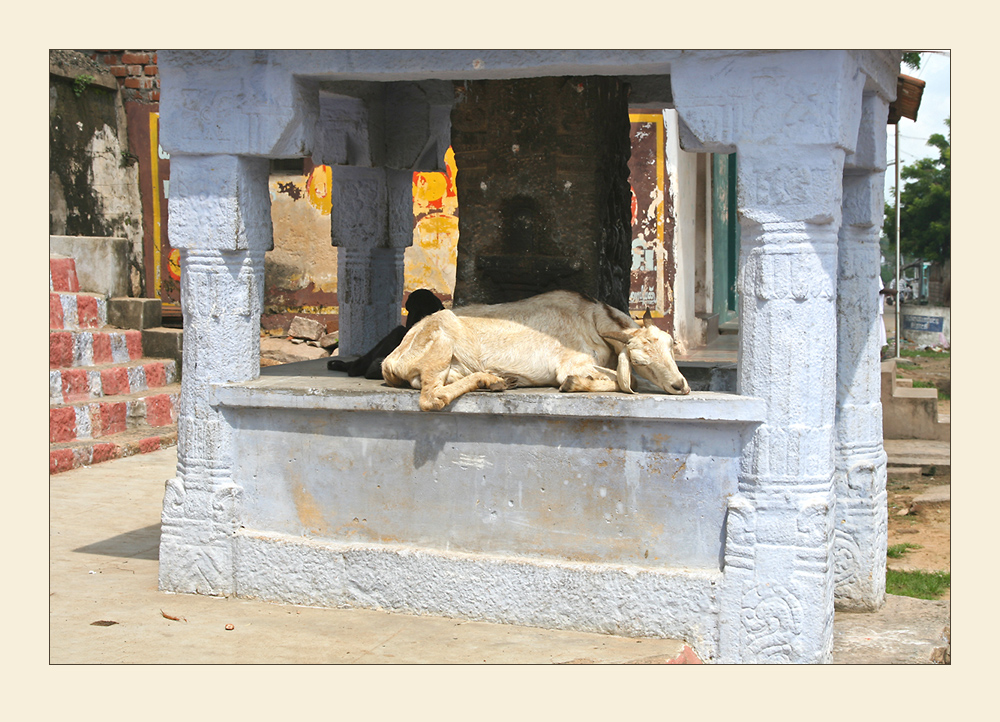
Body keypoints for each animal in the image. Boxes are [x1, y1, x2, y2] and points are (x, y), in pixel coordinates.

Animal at [378, 288, 692, 410]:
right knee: (432, 398)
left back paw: (497, 380)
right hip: (441, 341)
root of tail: (390, 362)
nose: (680, 386)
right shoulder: (571, 362)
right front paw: (573, 383)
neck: (592, 320)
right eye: (640, 360)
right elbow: (628, 382)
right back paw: (493, 379)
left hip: (452, 369)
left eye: (670, 347)